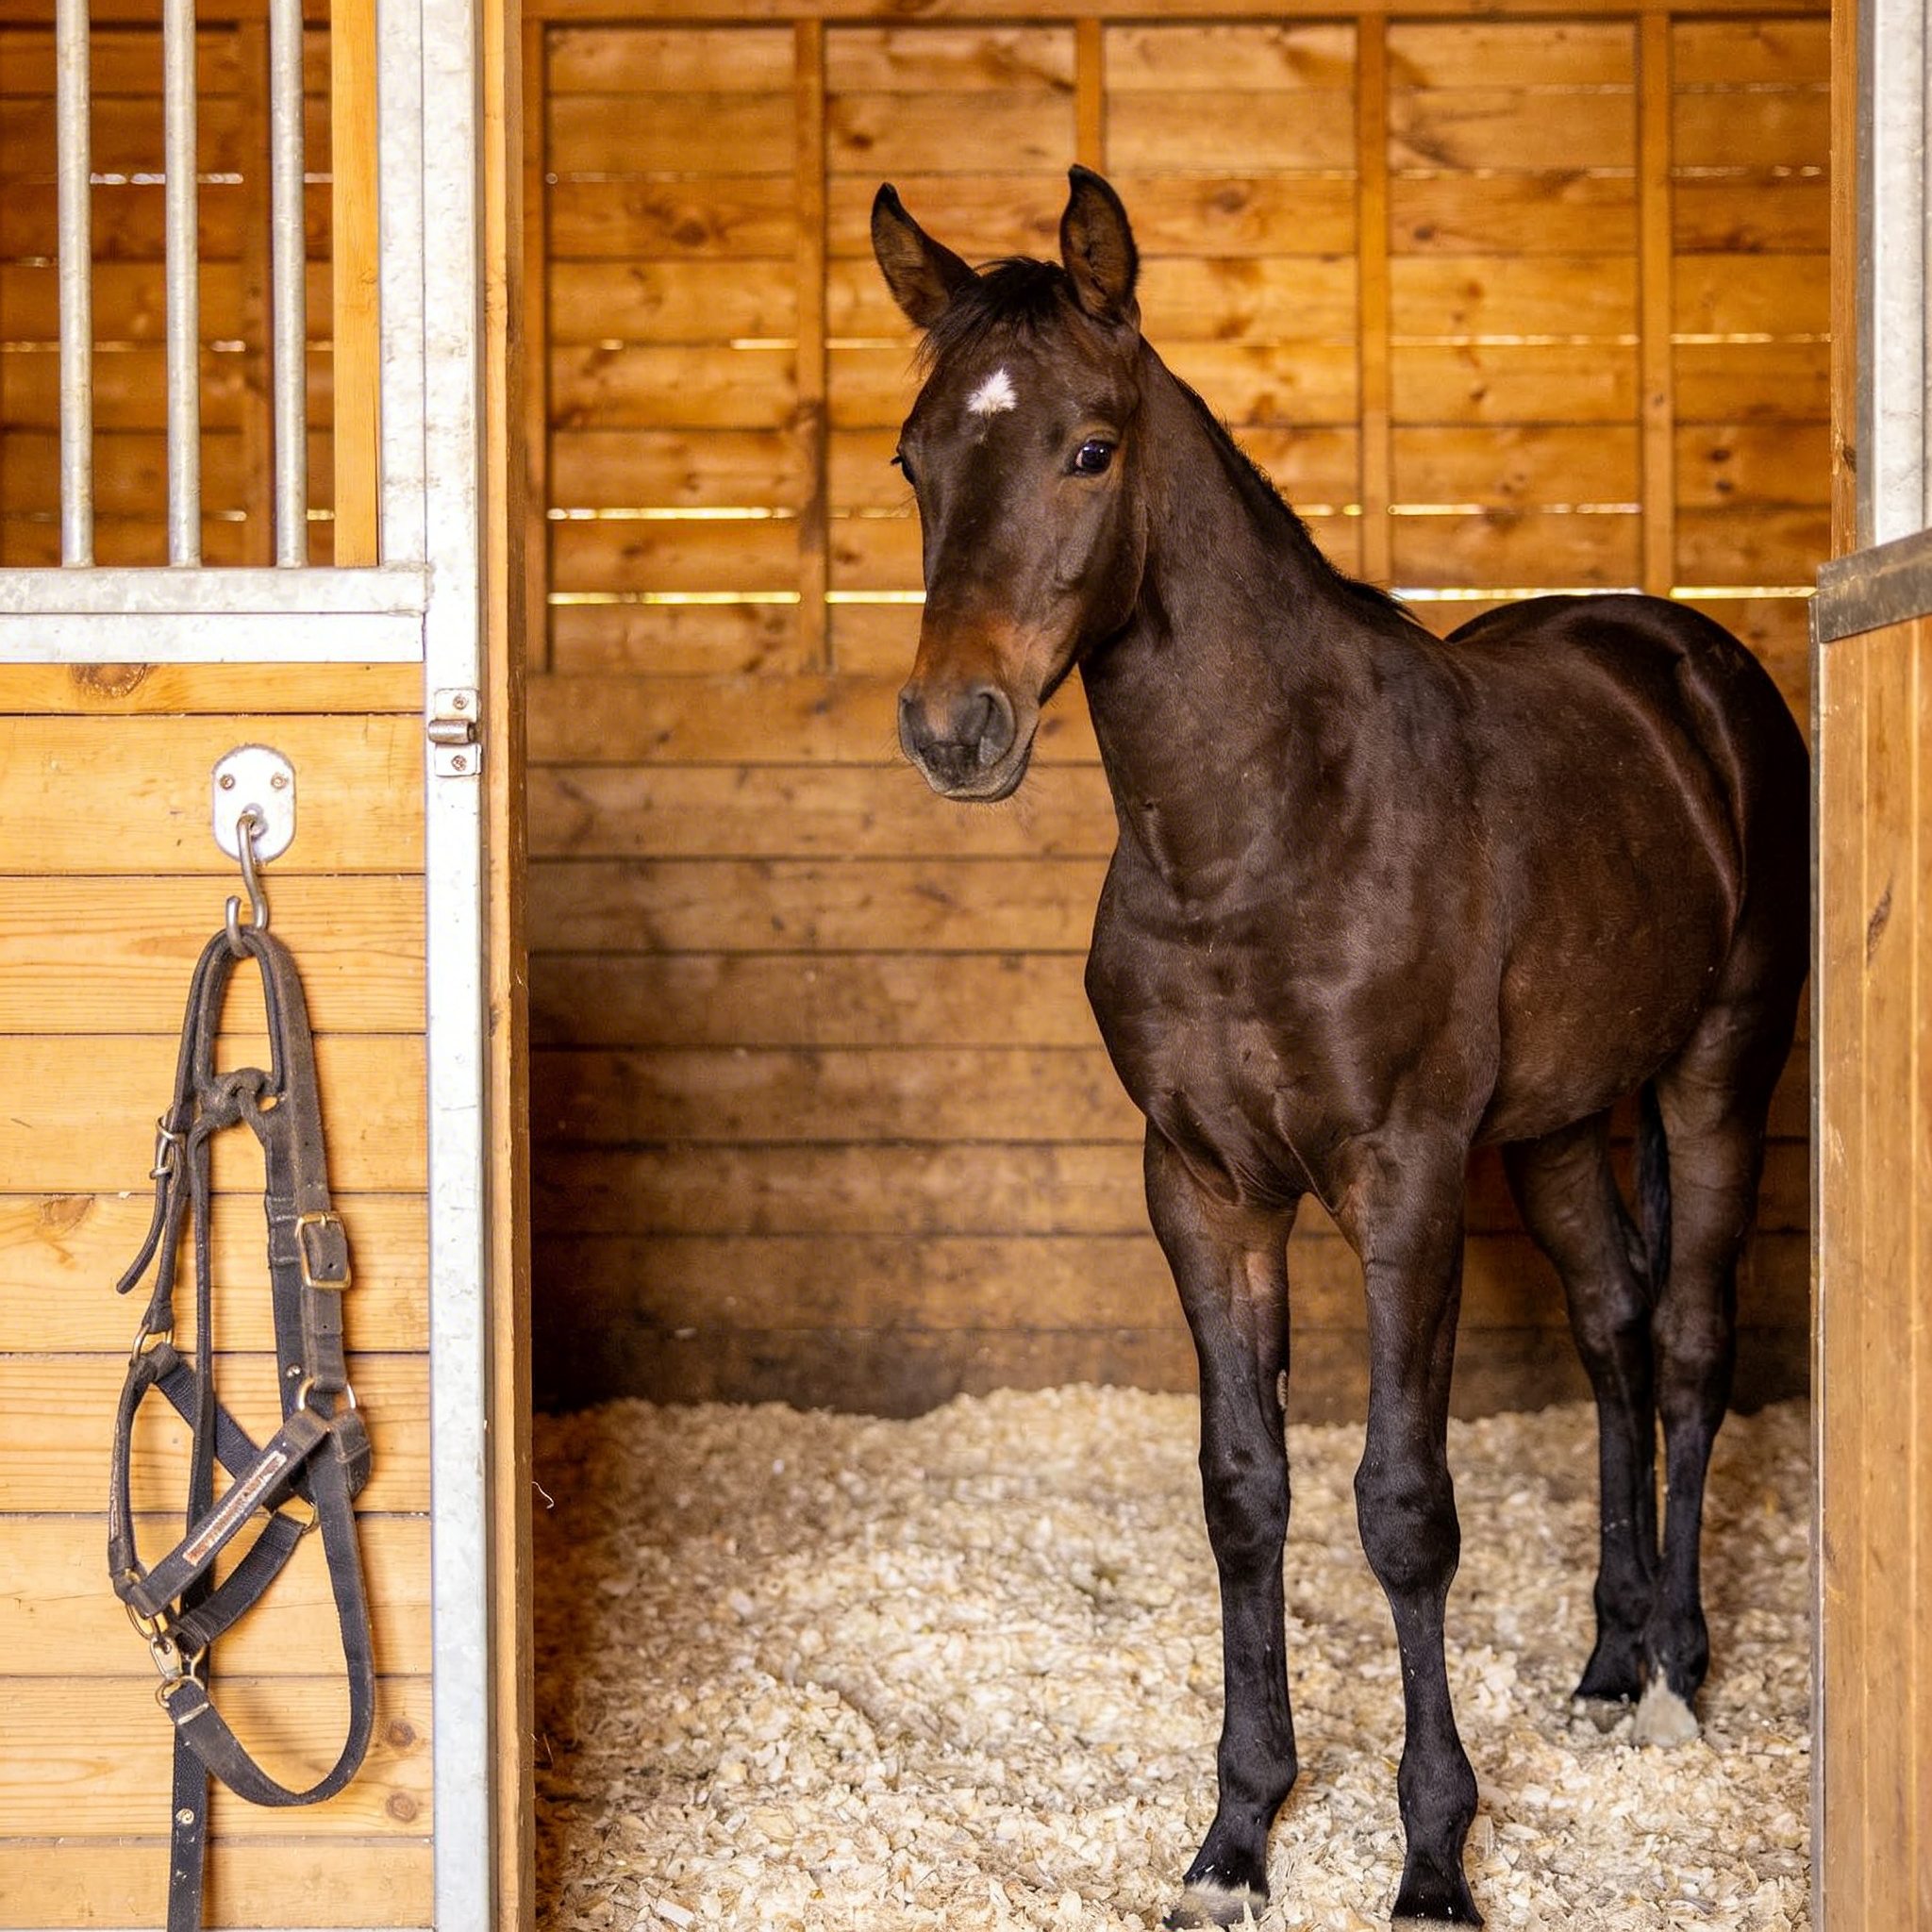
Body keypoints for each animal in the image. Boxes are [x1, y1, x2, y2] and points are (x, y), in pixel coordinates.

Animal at [870, 166, 1809, 1929]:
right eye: (912, 458)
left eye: (1089, 448)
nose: (955, 729)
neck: (1256, 831)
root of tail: (1688, 667)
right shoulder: (1203, 1188)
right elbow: (1246, 1497)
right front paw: (1237, 1834)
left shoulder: (1402, 1184)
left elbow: (1401, 1508)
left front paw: (1432, 1854)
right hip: (1559, 1127)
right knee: (1612, 1333)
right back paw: (1604, 1659)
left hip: (1719, 1075)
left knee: (1692, 1346)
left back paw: (1673, 1678)